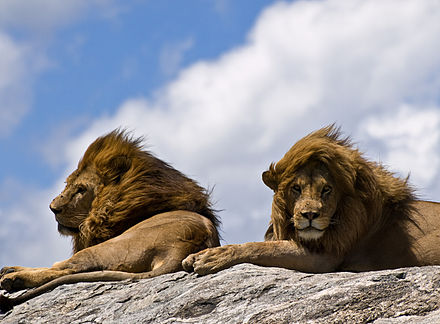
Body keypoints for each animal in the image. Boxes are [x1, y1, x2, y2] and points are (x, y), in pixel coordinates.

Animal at [0, 128, 220, 310]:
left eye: (81, 189)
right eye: (68, 184)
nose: (53, 208)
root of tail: (179, 251)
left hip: (108, 247)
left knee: (67, 268)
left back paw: (14, 277)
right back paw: (10, 270)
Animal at [182, 126, 440, 276]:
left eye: (327, 189)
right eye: (296, 188)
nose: (309, 216)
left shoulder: (325, 257)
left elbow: (260, 247)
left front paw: (210, 257)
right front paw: (197, 255)